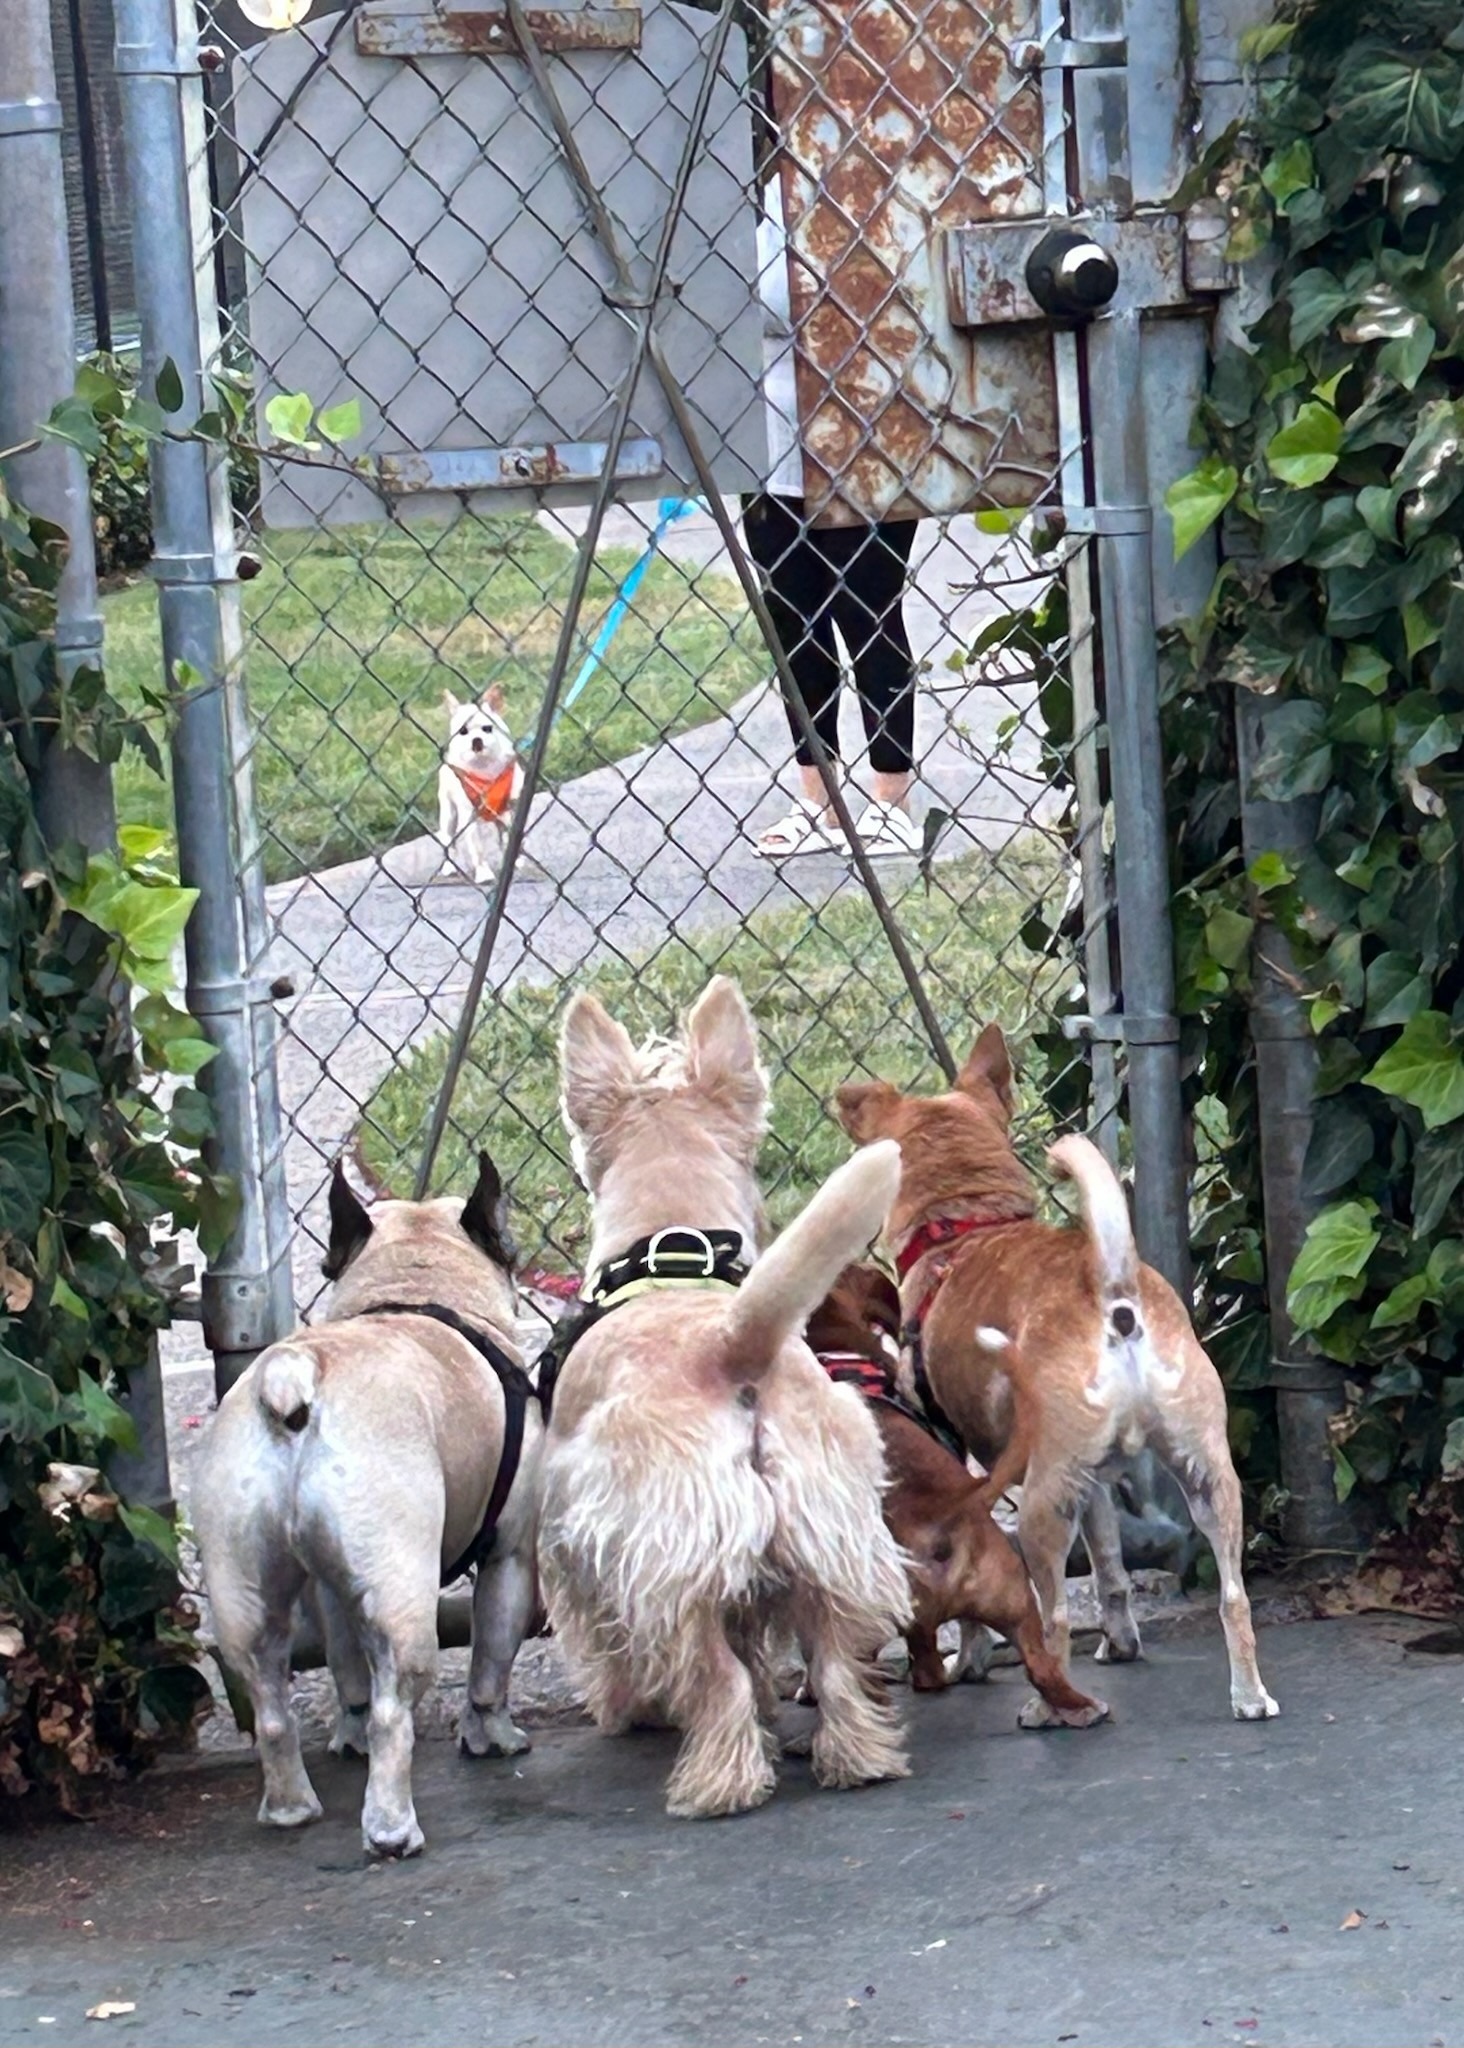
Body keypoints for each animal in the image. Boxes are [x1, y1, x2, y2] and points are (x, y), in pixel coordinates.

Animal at [193, 1154, 543, 1857]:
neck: (413, 1286)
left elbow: (346, 1665)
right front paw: (491, 1736)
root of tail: (294, 1380)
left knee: (271, 1702)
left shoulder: (334, 1588)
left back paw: (291, 1807)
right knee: (392, 1712)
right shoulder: (511, 1555)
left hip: (247, 1590)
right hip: (403, 1599)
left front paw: (347, 1737)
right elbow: (493, 1656)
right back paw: (390, 1828)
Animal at [436, 685, 523, 883]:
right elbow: (478, 848)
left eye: (487, 728)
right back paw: (448, 866)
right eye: (462, 731)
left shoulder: (511, 808)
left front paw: (516, 858)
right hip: (448, 812)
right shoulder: (468, 816)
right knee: (448, 840)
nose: (476, 740)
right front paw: (483, 873)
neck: (485, 768)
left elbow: (511, 836)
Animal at [538, 975, 913, 1818]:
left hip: (669, 1568)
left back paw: (717, 1785)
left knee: (719, 1681)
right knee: (835, 1667)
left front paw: (621, 1709)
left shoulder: (573, 1545)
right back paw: (858, 1759)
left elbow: (602, 1642)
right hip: (832, 1538)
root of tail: (732, 1347)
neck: (672, 1251)